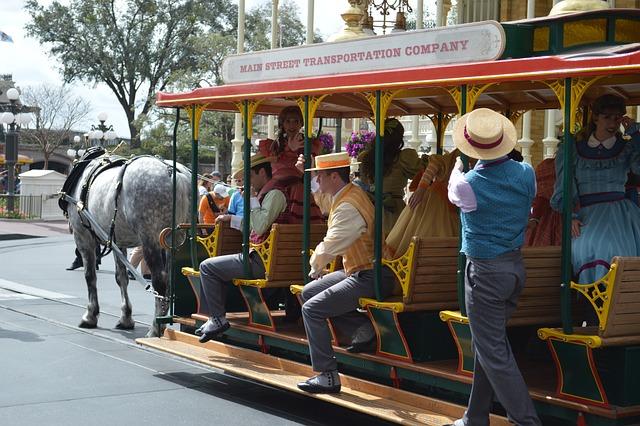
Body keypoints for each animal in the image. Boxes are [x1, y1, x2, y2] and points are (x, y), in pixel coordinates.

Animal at [62, 153, 192, 336]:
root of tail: (173, 172)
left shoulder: (83, 237)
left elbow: (90, 276)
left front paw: (90, 316)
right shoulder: (118, 242)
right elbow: (121, 278)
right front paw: (126, 318)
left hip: (151, 239)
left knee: (160, 281)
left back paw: (155, 329)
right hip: (179, 240)